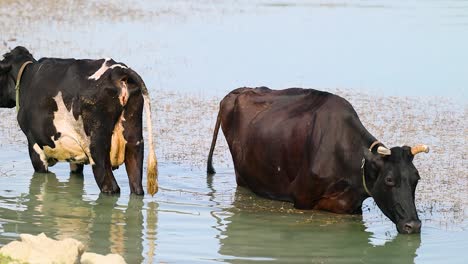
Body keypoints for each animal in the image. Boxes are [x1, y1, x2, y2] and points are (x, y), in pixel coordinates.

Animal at [0, 46, 158, 195]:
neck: (27, 79)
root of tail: (119, 71)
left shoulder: (34, 146)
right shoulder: (75, 155)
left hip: (97, 149)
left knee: (110, 186)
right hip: (134, 143)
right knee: (137, 187)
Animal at [207, 87, 428, 234]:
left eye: (416, 178)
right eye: (389, 180)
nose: (413, 225)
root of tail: (238, 91)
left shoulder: (352, 207)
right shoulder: (301, 199)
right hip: (242, 176)